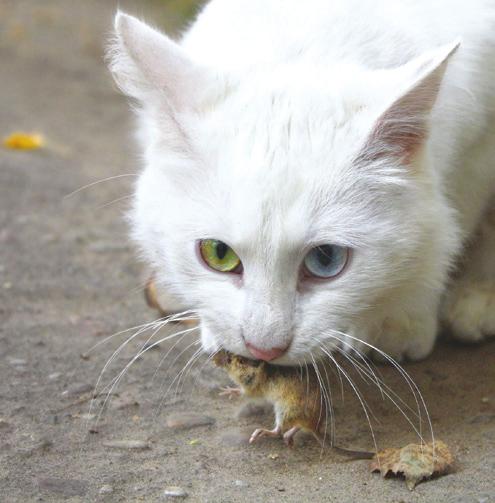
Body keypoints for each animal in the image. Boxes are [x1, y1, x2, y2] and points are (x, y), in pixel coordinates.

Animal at [109, 0, 495, 364]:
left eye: (326, 260)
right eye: (218, 253)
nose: (263, 349)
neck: (307, 46)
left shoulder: (476, 153)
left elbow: (449, 227)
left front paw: (399, 317)